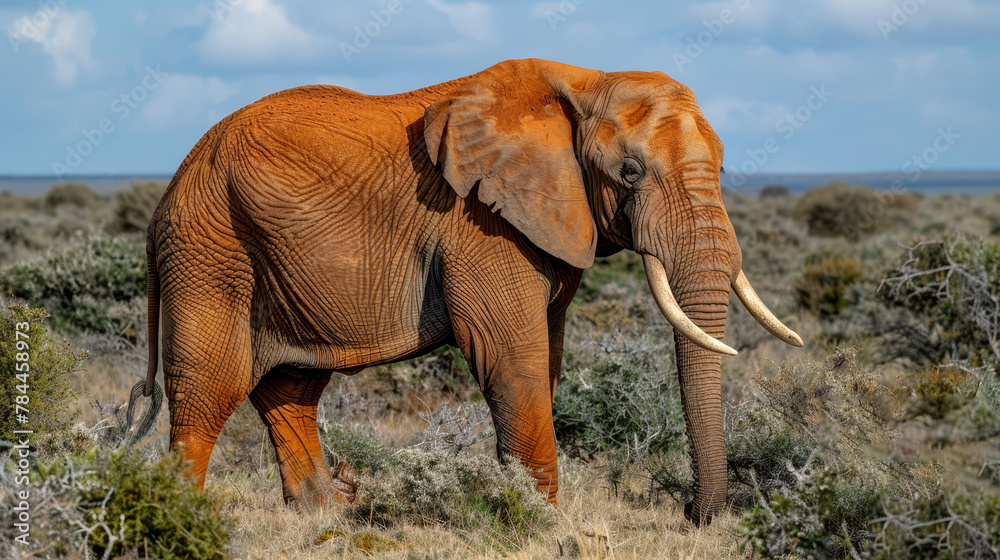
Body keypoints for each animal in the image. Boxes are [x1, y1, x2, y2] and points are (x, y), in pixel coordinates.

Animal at [125, 58, 802, 525]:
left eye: (722, 167)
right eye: (630, 173)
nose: (693, 515)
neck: (586, 83)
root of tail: (165, 196)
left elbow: (546, 360)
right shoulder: (481, 224)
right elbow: (512, 357)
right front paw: (539, 522)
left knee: (290, 386)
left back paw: (327, 513)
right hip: (211, 251)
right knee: (209, 386)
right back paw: (178, 515)